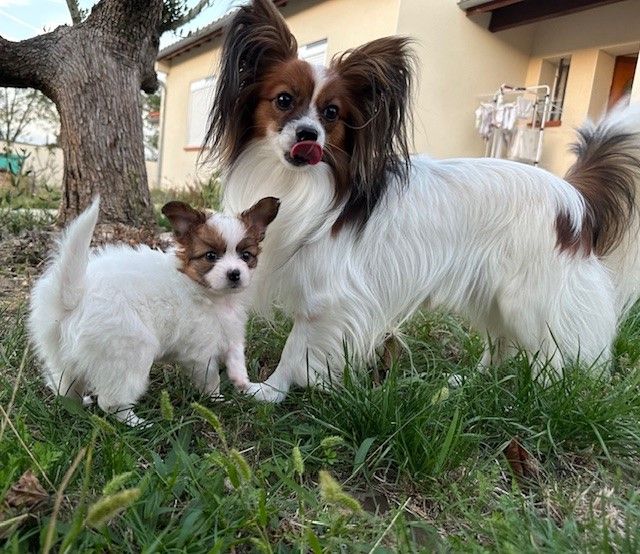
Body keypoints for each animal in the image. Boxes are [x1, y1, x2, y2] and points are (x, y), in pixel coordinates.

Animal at [28, 196, 278, 424]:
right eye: (210, 256)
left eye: (246, 256)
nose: (234, 273)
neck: (211, 295)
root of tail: (74, 297)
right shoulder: (199, 352)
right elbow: (210, 378)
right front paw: (217, 400)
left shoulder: (230, 330)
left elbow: (236, 354)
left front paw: (242, 382)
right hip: (129, 355)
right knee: (110, 402)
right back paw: (138, 423)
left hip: (61, 356)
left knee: (66, 388)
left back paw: (78, 404)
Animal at [208, 0, 640, 398]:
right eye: (283, 100)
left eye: (331, 113)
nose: (309, 136)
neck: (301, 182)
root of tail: (574, 197)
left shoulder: (326, 298)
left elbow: (296, 349)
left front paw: (270, 392)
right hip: (492, 296)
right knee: (501, 344)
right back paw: (473, 384)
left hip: (527, 301)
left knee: (550, 353)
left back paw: (535, 399)